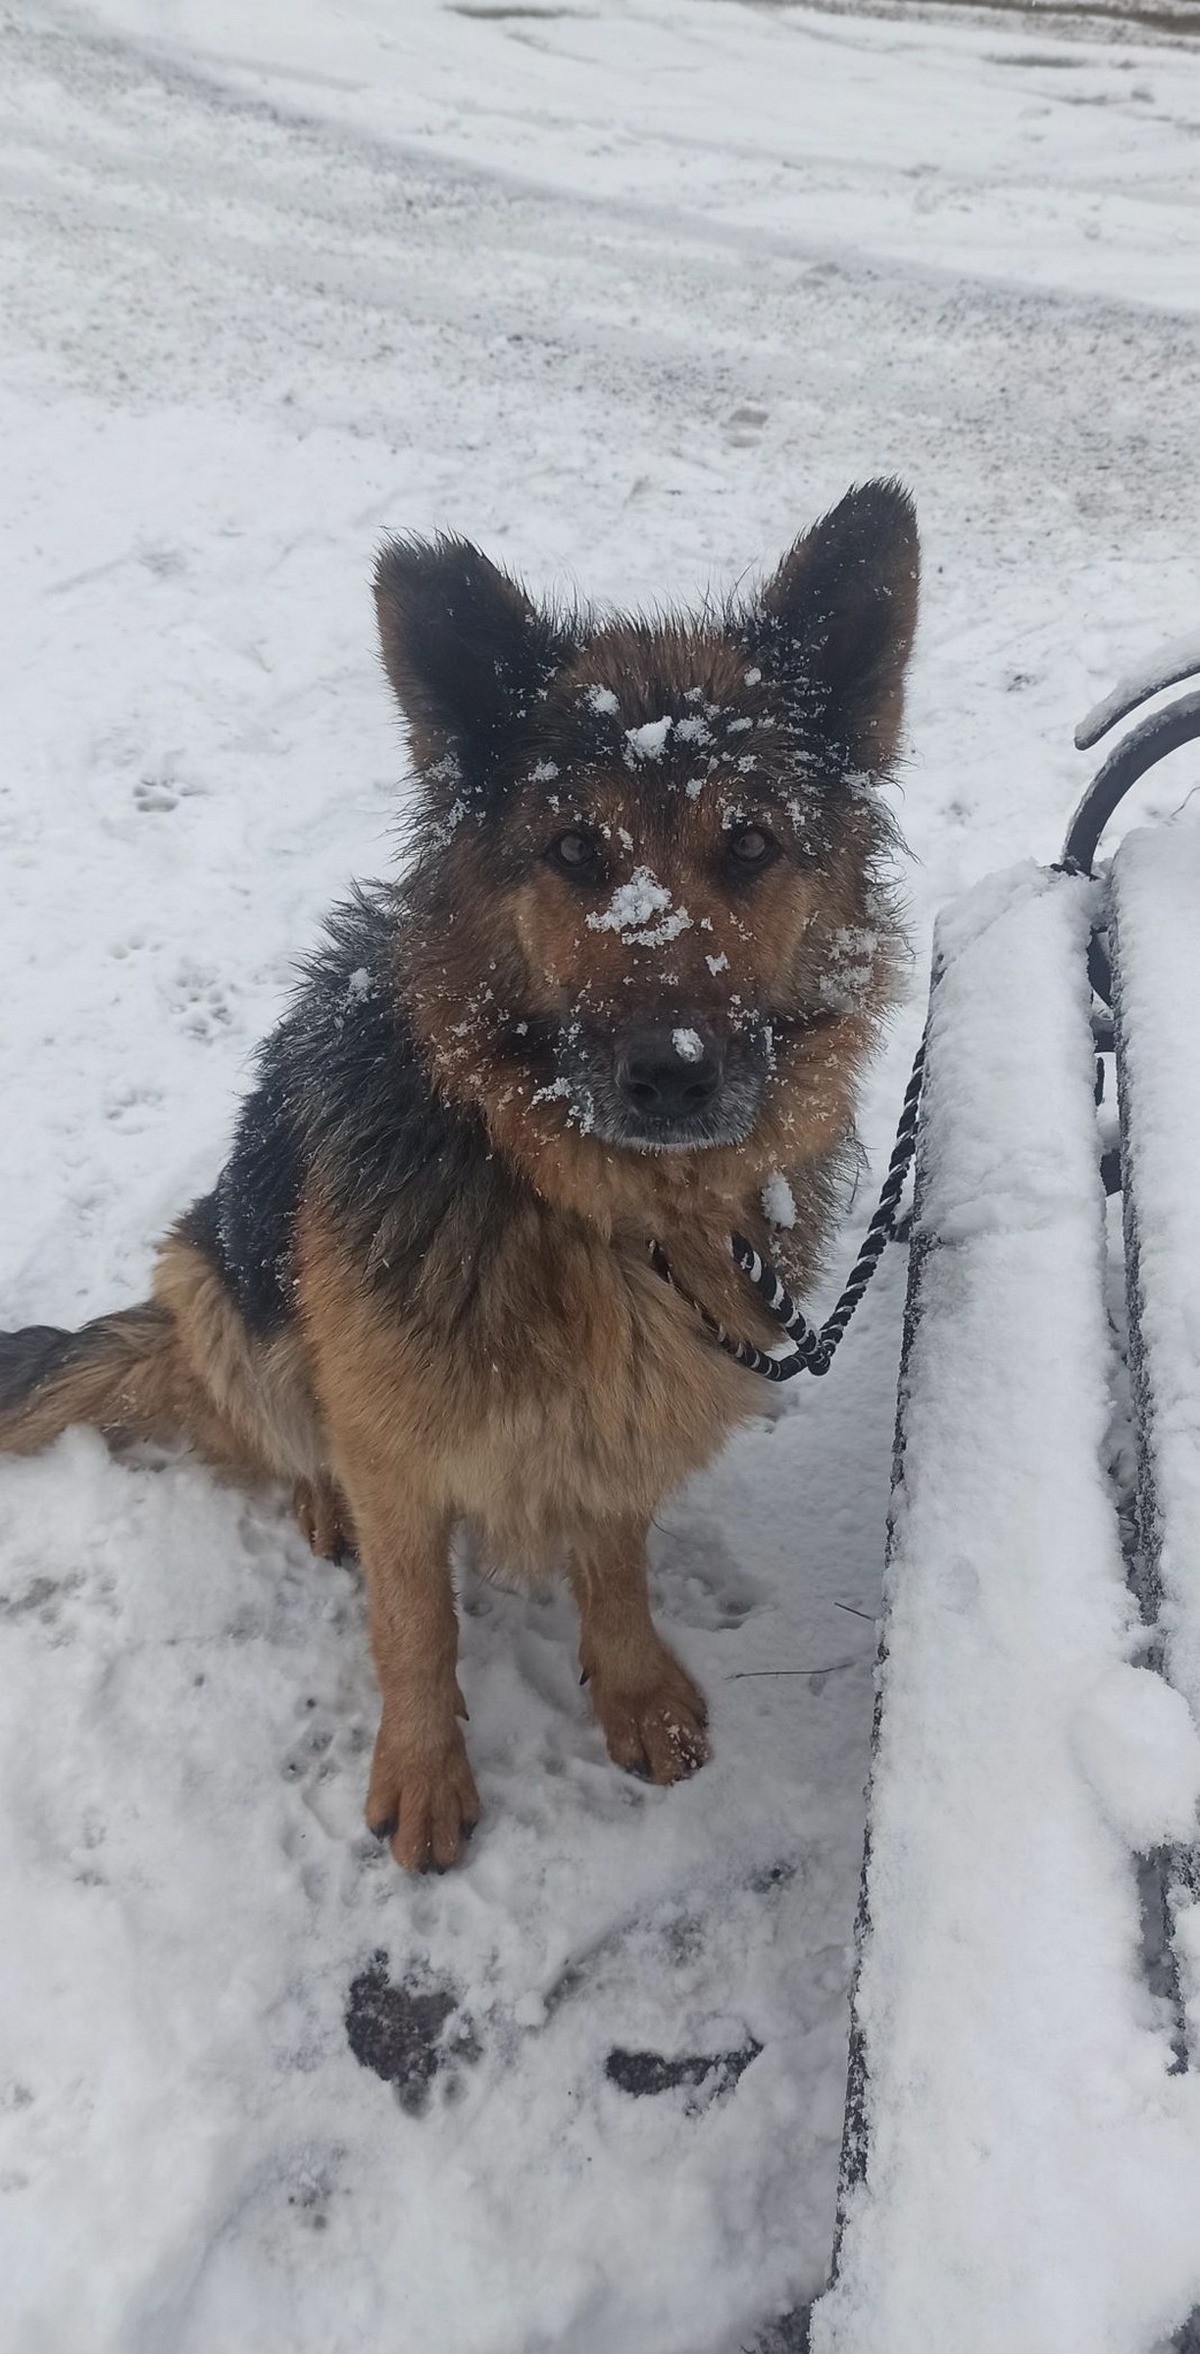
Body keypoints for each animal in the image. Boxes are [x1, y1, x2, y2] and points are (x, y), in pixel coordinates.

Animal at [0, 482, 917, 1873]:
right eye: (577, 848)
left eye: (751, 841)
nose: (670, 1074)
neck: (604, 1214)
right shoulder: (395, 1442)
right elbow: (413, 1619)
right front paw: (425, 1772)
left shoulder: (625, 1414)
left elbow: (616, 1555)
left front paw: (633, 1686)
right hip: (217, 1274)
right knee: (288, 1433)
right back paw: (317, 1501)